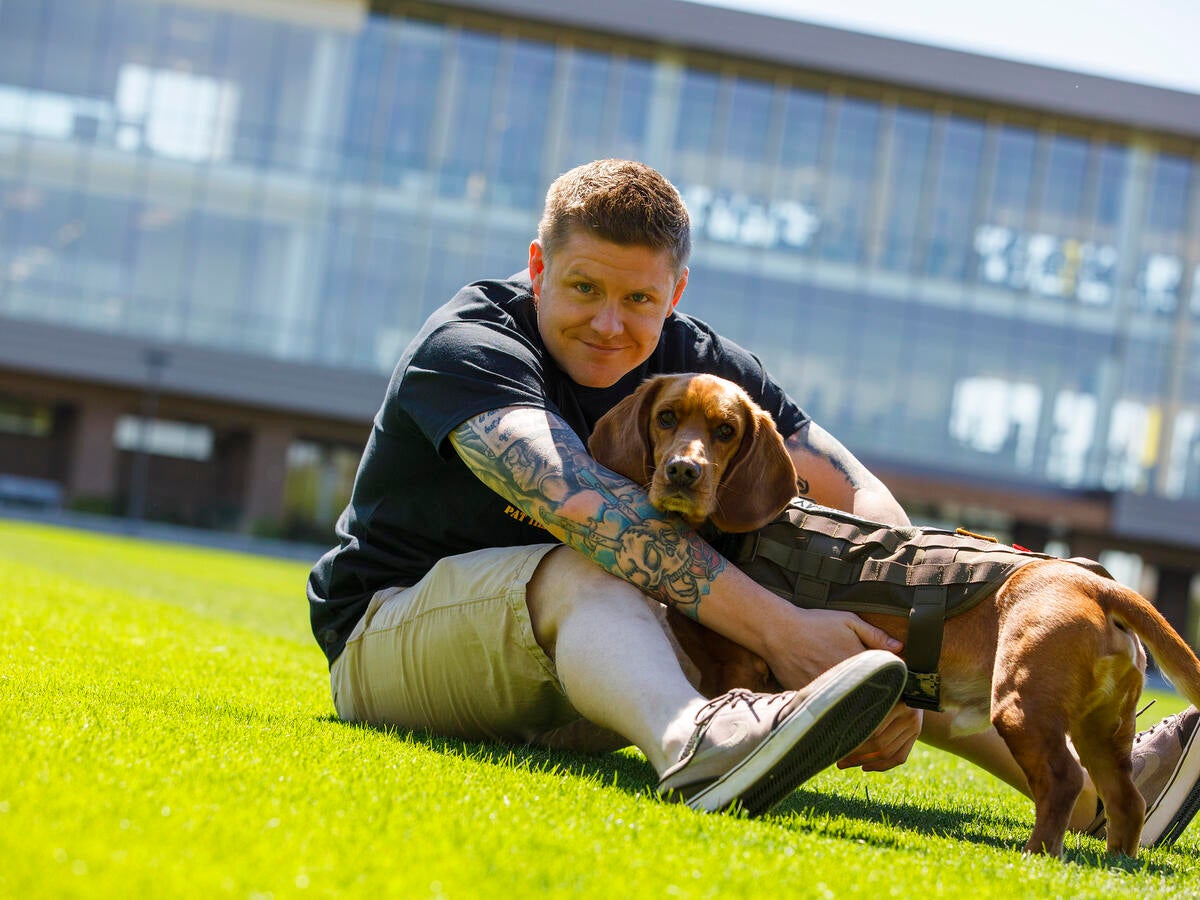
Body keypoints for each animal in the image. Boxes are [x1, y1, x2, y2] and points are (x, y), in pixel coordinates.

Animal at [588, 374, 1200, 859]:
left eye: (725, 431)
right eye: (666, 418)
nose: (682, 471)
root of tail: (1094, 583)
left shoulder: (739, 669)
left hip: (1023, 708)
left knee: (1064, 781)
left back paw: (1038, 853)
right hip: (1104, 730)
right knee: (1126, 798)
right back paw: (1116, 861)